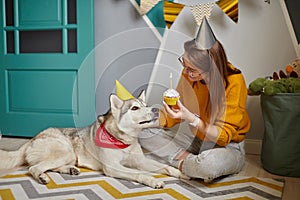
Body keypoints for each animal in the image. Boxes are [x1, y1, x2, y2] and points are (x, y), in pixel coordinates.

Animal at [0, 91, 188, 188]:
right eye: (135, 108)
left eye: (145, 105)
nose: (155, 110)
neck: (123, 141)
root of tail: (32, 138)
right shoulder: (113, 167)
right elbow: (138, 173)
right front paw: (152, 180)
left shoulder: (140, 161)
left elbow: (165, 167)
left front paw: (182, 173)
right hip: (65, 151)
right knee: (34, 168)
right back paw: (42, 177)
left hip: (69, 156)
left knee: (48, 166)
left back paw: (70, 170)